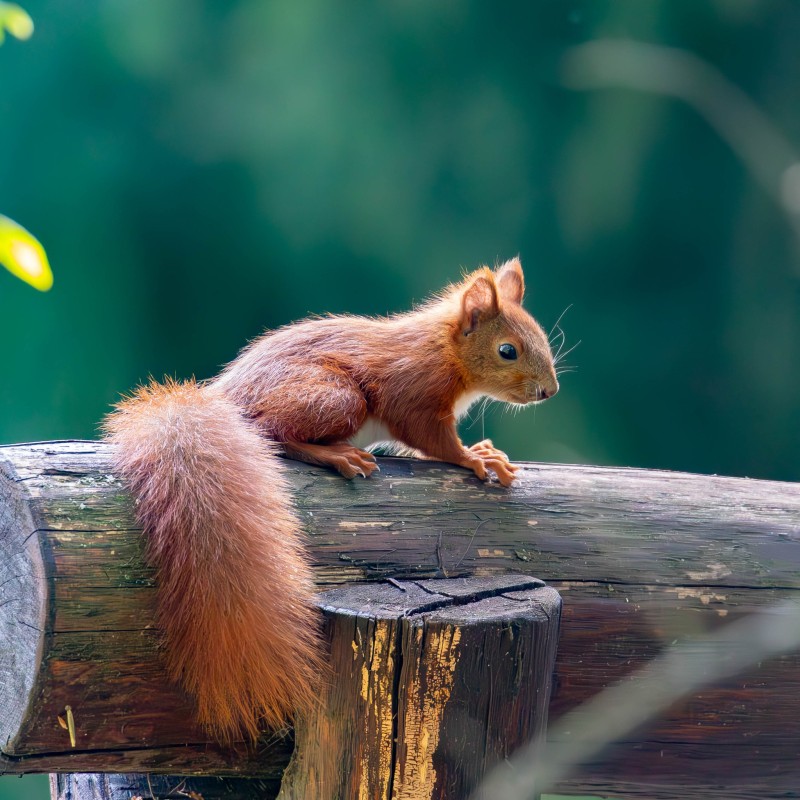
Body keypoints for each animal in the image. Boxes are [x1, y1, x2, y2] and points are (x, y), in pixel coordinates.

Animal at [103, 260, 560, 740]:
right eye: (507, 351)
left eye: (541, 337)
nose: (549, 390)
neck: (446, 349)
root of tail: (226, 401)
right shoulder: (413, 392)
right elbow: (434, 441)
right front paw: (476, 458)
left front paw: (487, 452)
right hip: (336, 396)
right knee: (274, 433)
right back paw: (336, 454)